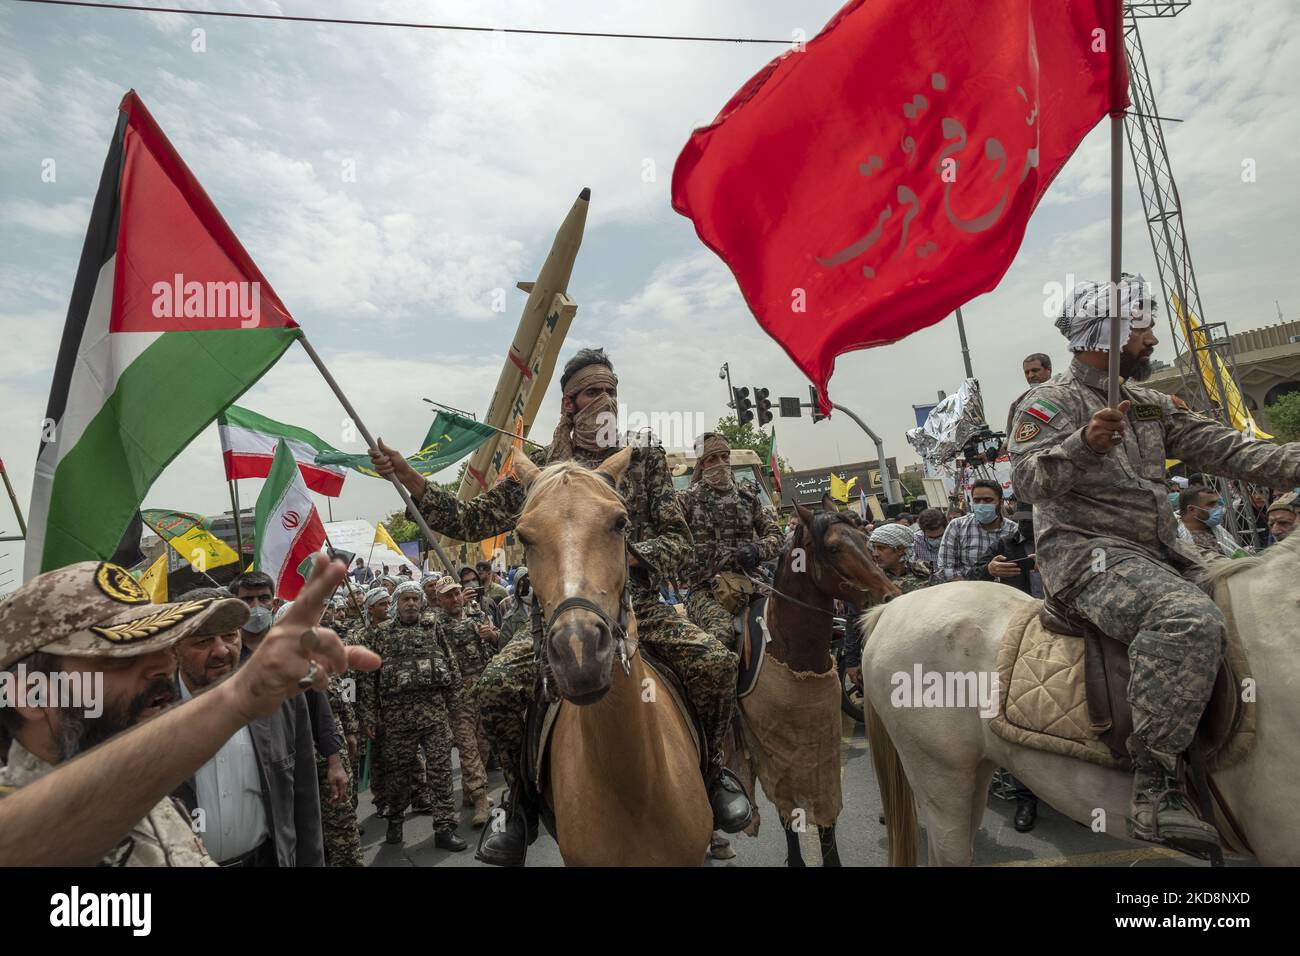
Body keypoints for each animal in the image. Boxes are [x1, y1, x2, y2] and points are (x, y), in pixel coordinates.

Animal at [733, 502, 904, 868]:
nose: (891, 596)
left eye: (866, 539)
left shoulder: (820, 746)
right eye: (834, 548)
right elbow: (787, 814)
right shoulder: (772, 753)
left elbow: (825, 819)